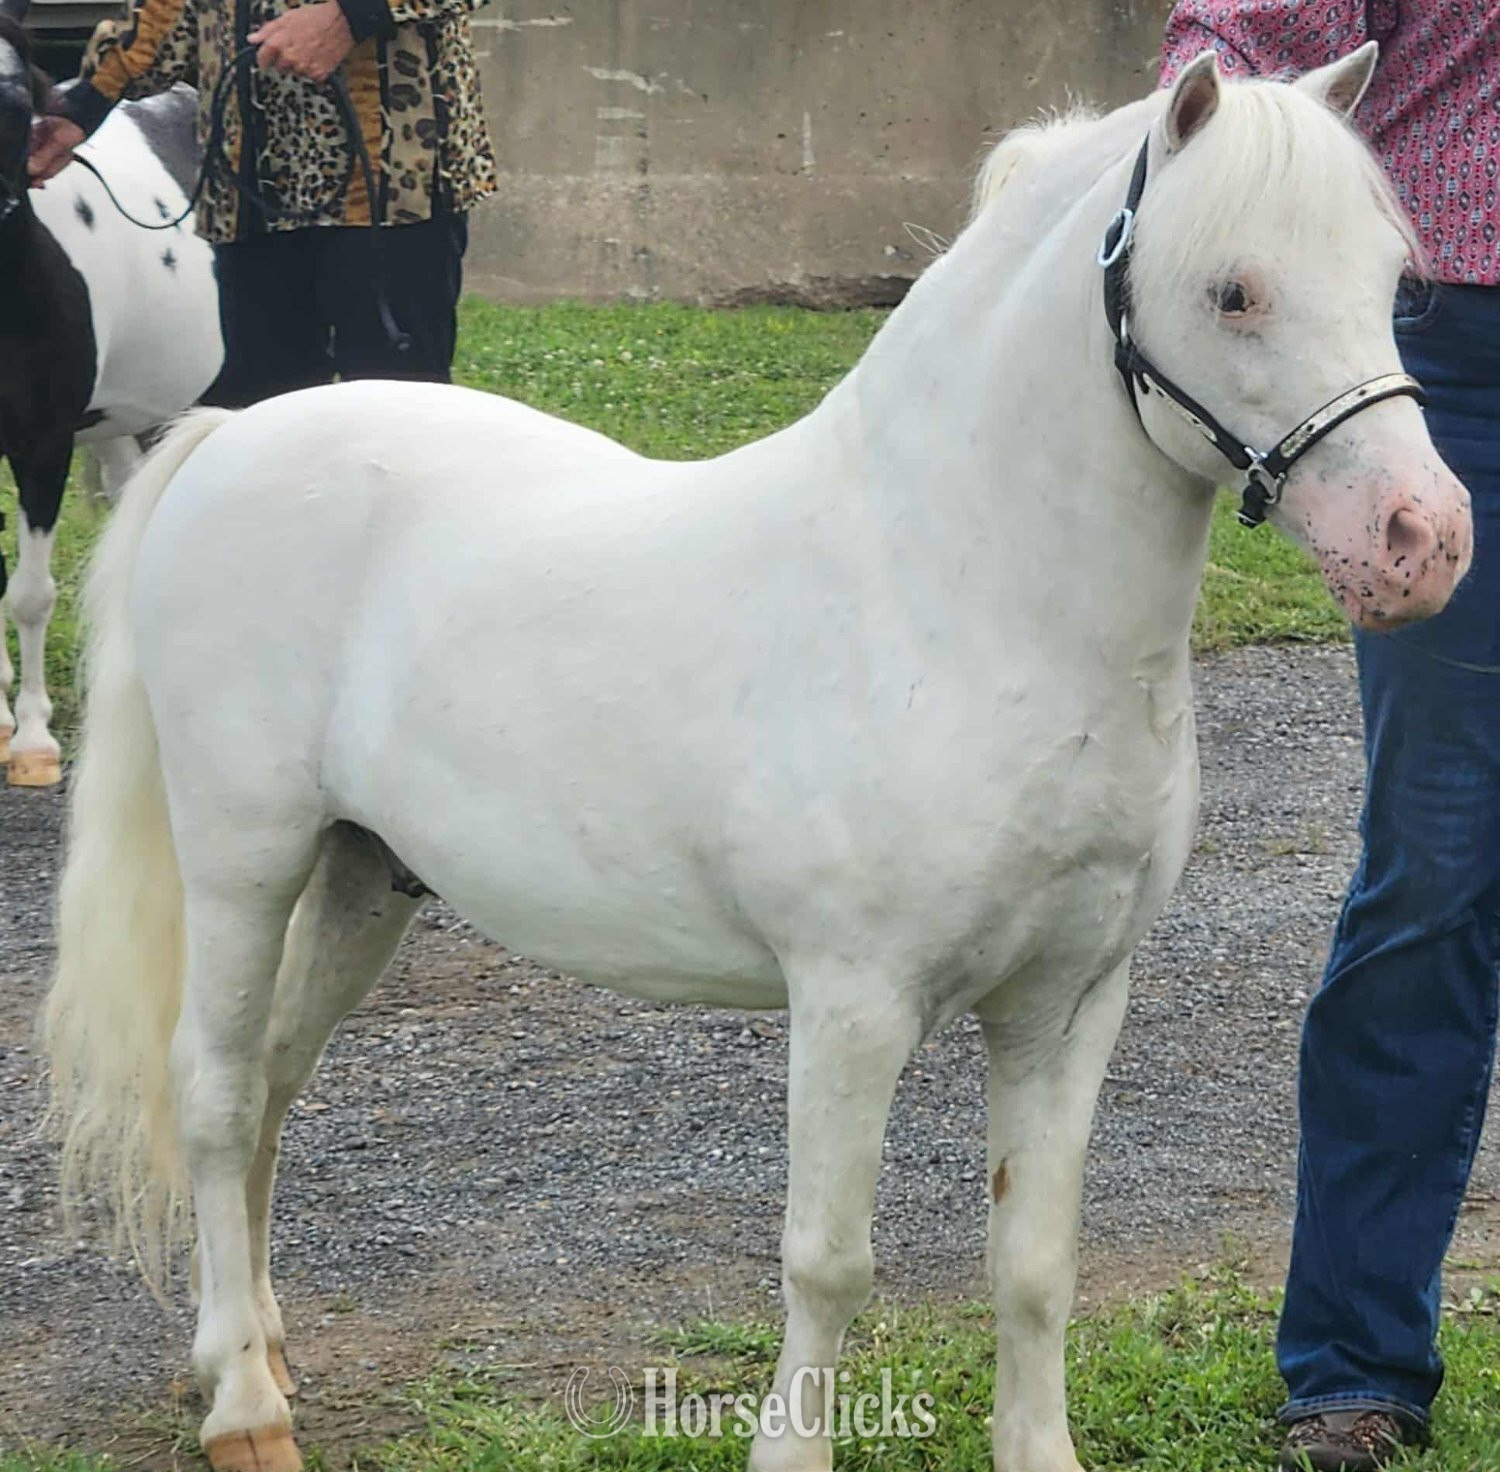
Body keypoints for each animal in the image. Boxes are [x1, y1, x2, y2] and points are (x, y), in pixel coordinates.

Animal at [45, 48, 1472, 1472]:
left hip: (363, 875)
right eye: (1234, 288)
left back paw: (260, 1345)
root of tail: (232, 435)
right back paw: (247, 1404)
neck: (960, 598)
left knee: (275, 1082)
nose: (1422, 539)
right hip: (245, 860)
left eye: (1392, 277)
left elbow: (1034, 1259)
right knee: (216, 1092)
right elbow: (828, 1263)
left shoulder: (1070, 999)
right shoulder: (853, 1001)